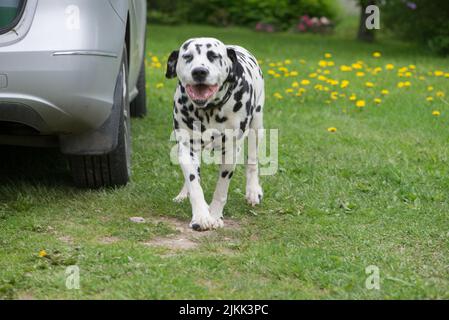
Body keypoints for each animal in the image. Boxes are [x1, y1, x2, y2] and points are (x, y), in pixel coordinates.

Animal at [164, 37, 262, 231]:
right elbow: (194, 182)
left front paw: (216, 215)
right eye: (187, 56)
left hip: (256, 126)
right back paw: (183, 194)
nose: (199, 72)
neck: (209, 109)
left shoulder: (230, 153)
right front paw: (201, 216)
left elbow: (221, 190)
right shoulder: (186, 148)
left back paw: (253, 191)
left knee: (252, 162)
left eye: (213, 56)